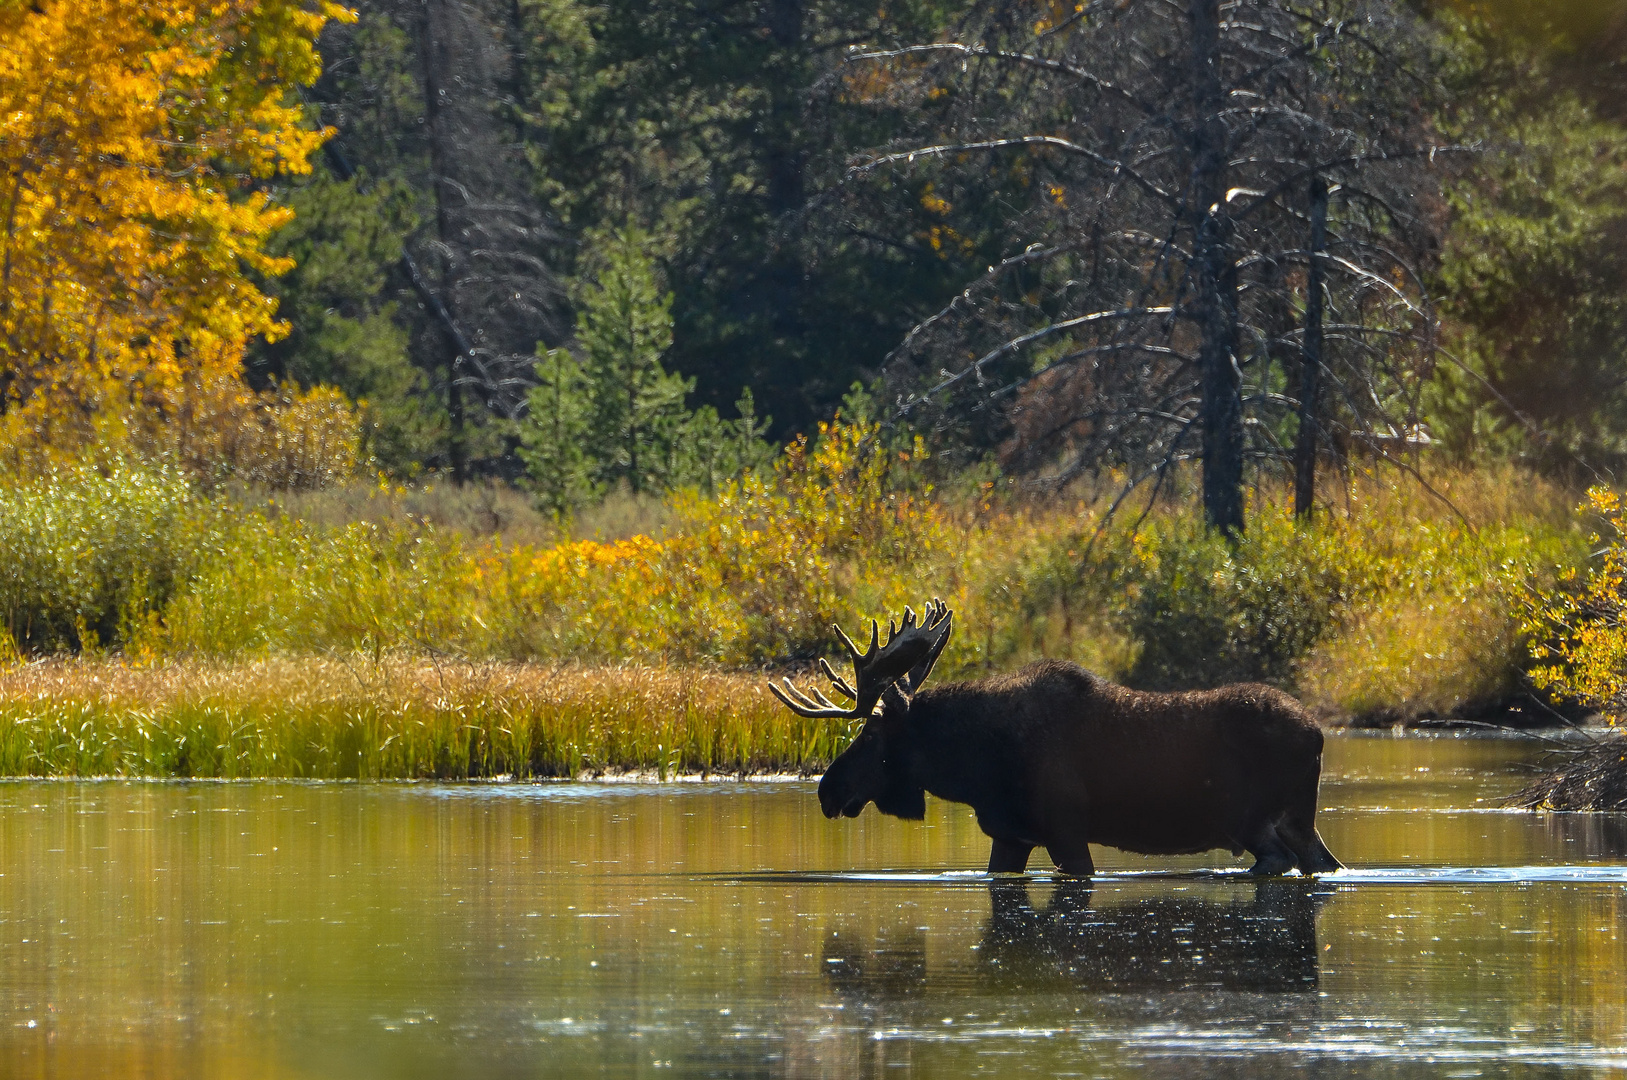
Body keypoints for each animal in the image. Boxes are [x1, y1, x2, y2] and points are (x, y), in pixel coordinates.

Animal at [767, 598, 1340, 878]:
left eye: (870, 735)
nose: (827, 790)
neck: (974, 769)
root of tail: (1317, 734)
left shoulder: (1066, 830)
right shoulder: (1011, 834)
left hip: (1252, 818)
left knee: (1278, 860)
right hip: (1297, 820)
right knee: (1319, 862)